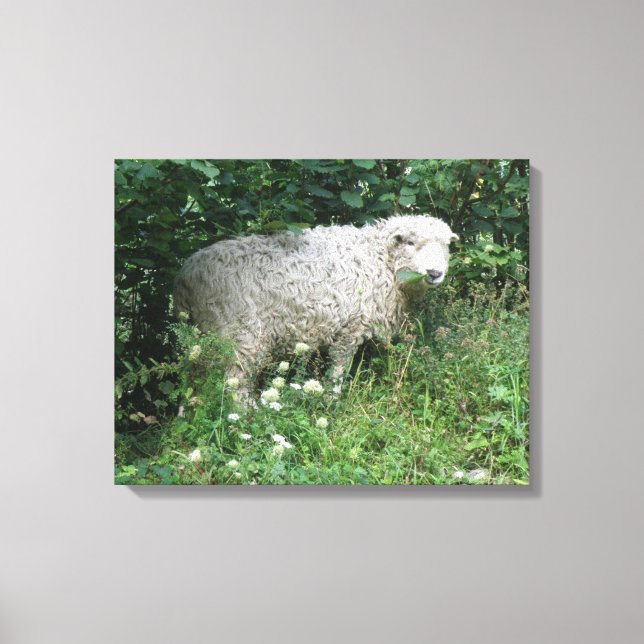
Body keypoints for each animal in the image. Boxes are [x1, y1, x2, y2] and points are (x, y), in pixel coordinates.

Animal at [173, 214, 458, 396]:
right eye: (410, 242)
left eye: (446, 246)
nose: (435, 273)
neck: (378, 258)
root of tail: (187, 275)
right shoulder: (350, 328)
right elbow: (338, 371)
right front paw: (332, 402)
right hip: (241, 334)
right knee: (235, 382)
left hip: (200, 335)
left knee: (192, 377)